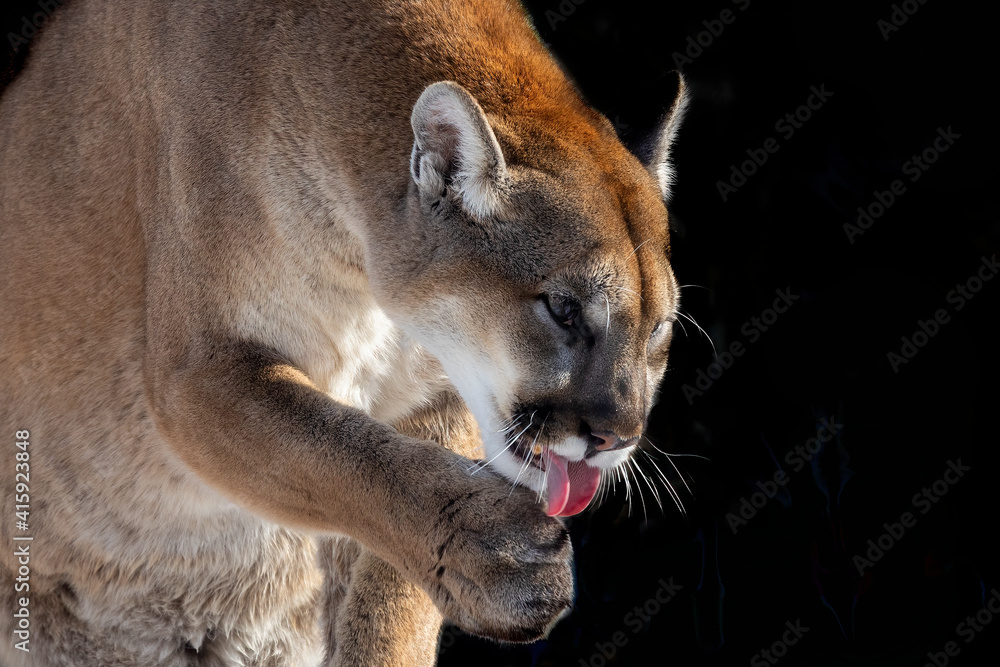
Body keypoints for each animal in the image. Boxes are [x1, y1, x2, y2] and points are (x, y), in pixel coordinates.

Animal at [0, 0, 688, 664]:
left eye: (658, 330)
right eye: (563, 309)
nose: (616, 437)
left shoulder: (437, 391)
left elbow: (390, 582)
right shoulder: (198, 369)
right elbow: (345, 456)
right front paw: (499, 557)